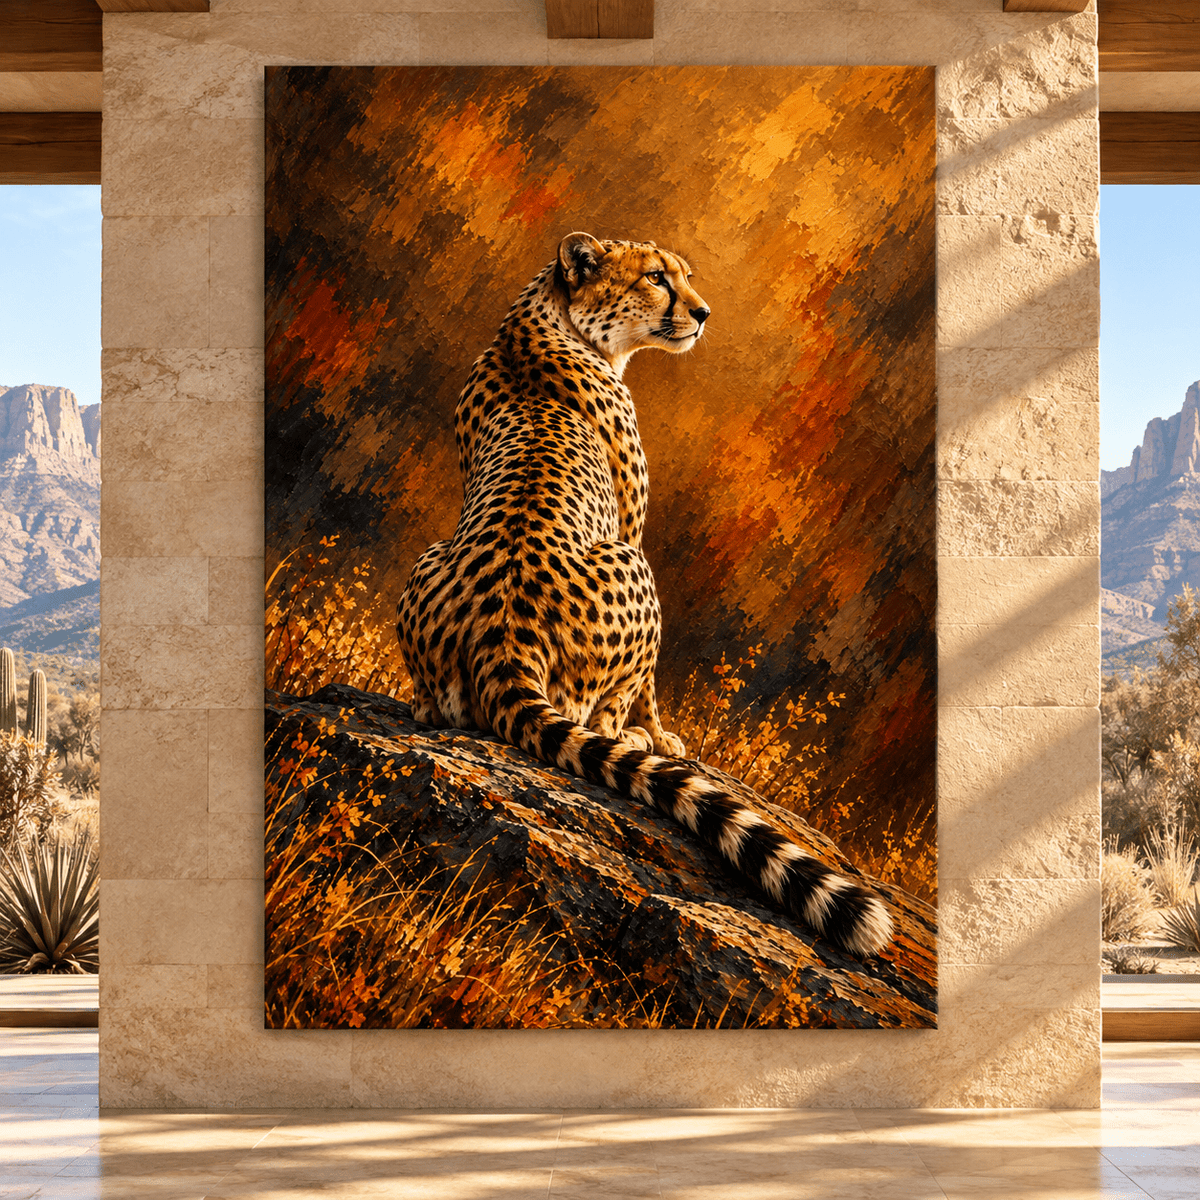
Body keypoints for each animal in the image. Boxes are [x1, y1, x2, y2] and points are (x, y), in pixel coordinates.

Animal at [396, 232, 893, 957]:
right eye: (657, 278)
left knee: (444, 708)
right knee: (600, 715)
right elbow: (652, 688)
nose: (705, 313)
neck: (550, 323)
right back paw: (627, 735)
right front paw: (660, 736)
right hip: (630, 562)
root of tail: (504, 639)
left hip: (431, 556)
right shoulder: (631, 526)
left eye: (683, 275)